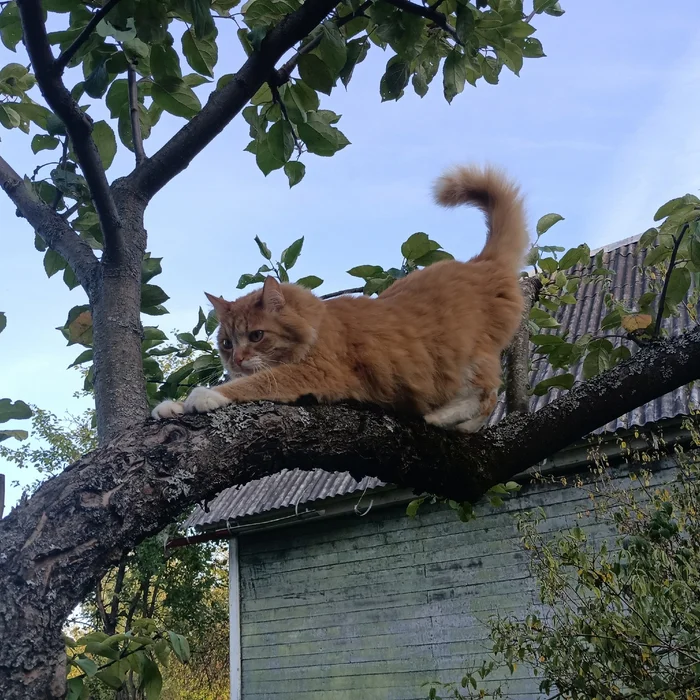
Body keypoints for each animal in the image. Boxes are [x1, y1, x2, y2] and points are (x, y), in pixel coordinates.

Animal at [152, 165, 524, 432]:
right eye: (227, 343)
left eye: (256, 336)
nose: (237, 360)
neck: (319, 322)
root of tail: (481, 263)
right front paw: (173, 405)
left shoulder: (317, 371)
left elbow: (257, 382)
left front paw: (205, 394)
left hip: (471, 356)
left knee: (488, 394)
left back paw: (445, 418)